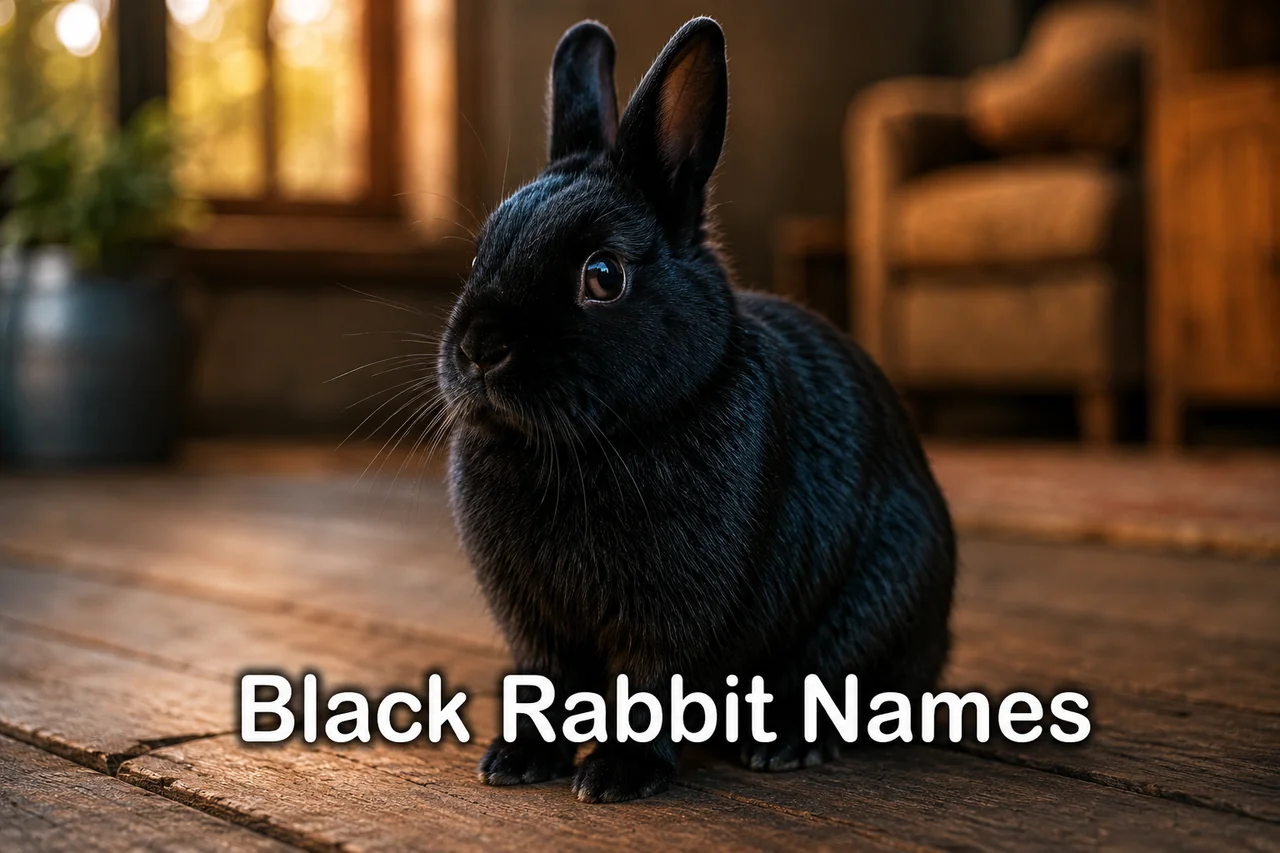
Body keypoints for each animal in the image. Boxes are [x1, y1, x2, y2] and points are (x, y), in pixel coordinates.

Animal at [437, 17, 956, 804]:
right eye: (479, 255)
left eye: (603, 275)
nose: (478, 348)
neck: (582, 446)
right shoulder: (537, 626)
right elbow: (548, 684)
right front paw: (517, 762)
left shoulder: (677, 616)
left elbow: (653, 687)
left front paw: (616, 777)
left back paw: (784, 745)